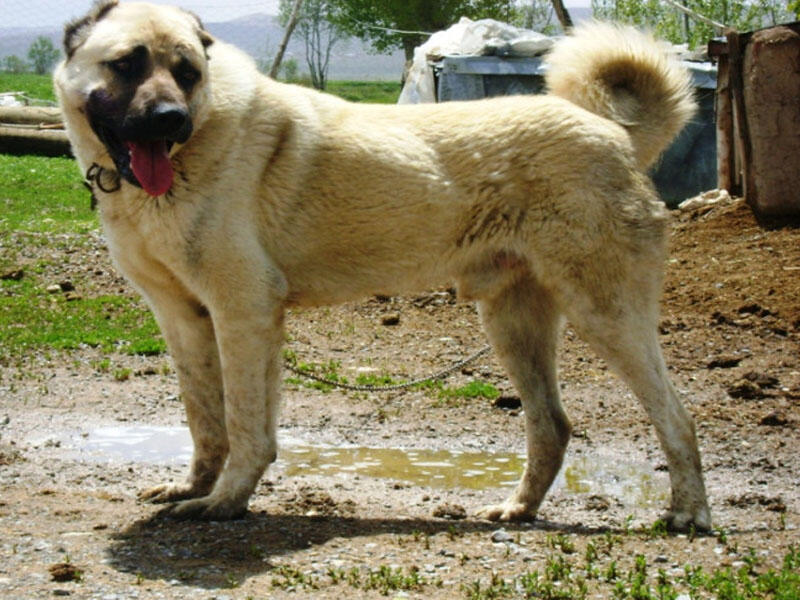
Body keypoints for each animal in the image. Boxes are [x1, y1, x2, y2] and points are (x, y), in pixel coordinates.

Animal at [53, 3, 708, 528]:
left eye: (187, 72)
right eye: (128, 64)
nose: (171, 118)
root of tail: (612, 132)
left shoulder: (243, 314)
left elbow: (245, 425)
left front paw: (225, 502)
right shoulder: (184, 319)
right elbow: (205, 418)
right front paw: (195, 488)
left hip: (606, 315)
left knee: (677, 416)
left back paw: (687, 515)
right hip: (513, 323)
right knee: (552, 425)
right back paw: (518, 509)